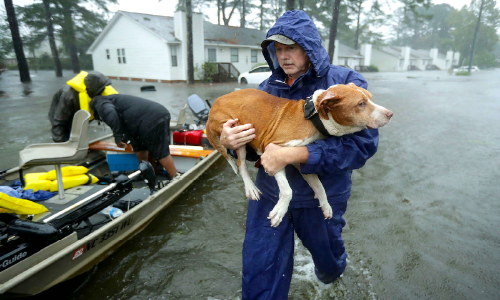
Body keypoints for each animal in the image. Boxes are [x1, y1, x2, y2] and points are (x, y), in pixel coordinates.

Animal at [205, 83, 392, 226]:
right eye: (361, 104)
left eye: (370, 98)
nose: (390, 114)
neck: (314, 119)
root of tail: (214, 104)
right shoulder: (271, 152)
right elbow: (288, 191)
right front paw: (279, 212)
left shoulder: (304, 162)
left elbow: (320, 187)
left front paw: (326, 205)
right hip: (238, 132)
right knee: (241, 164)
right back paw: (251, 188)